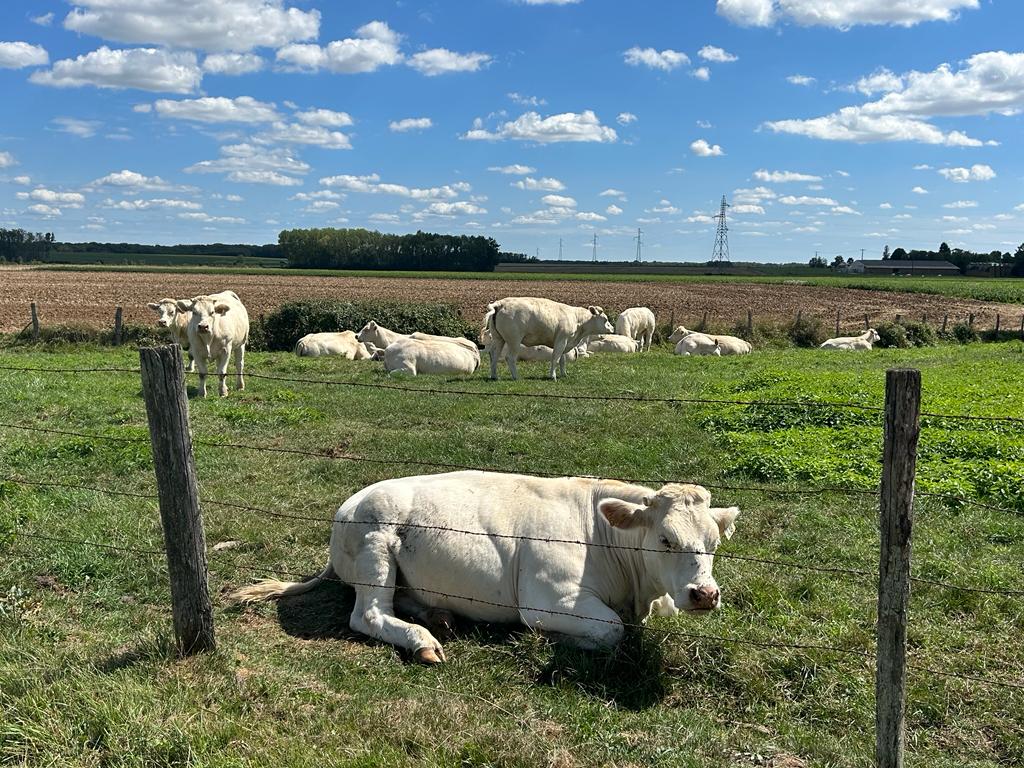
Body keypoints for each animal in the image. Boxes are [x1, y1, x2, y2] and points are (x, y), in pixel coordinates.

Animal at [230, 473, 745, 663]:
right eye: (666, 539)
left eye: (714, 543)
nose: (705, 594)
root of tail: (349, 503)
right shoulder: (549, 598)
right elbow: (610, 630)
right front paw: (549, 640)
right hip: (375, 547)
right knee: (368, 614)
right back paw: (423, 641)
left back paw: (436, 616)